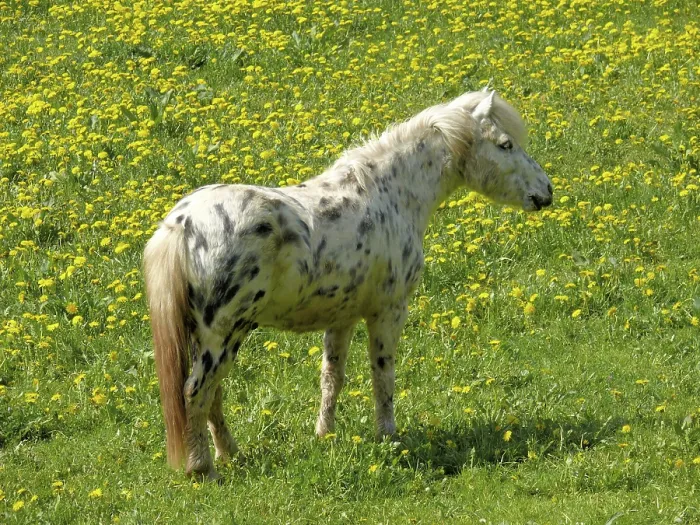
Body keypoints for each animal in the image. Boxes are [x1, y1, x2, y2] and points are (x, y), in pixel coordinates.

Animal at [143, 89, 553, 480]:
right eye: (506, 144)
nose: (546, 192)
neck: (388, 195)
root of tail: (183, 223)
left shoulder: (341, 319)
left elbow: (332, 378)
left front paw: (325, 435)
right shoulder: (388, 312)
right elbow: (383, 376)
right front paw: (388, 436)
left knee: (212, 396)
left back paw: (231, 455)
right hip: (223, 336)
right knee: (196, 394)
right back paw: (203, 470)